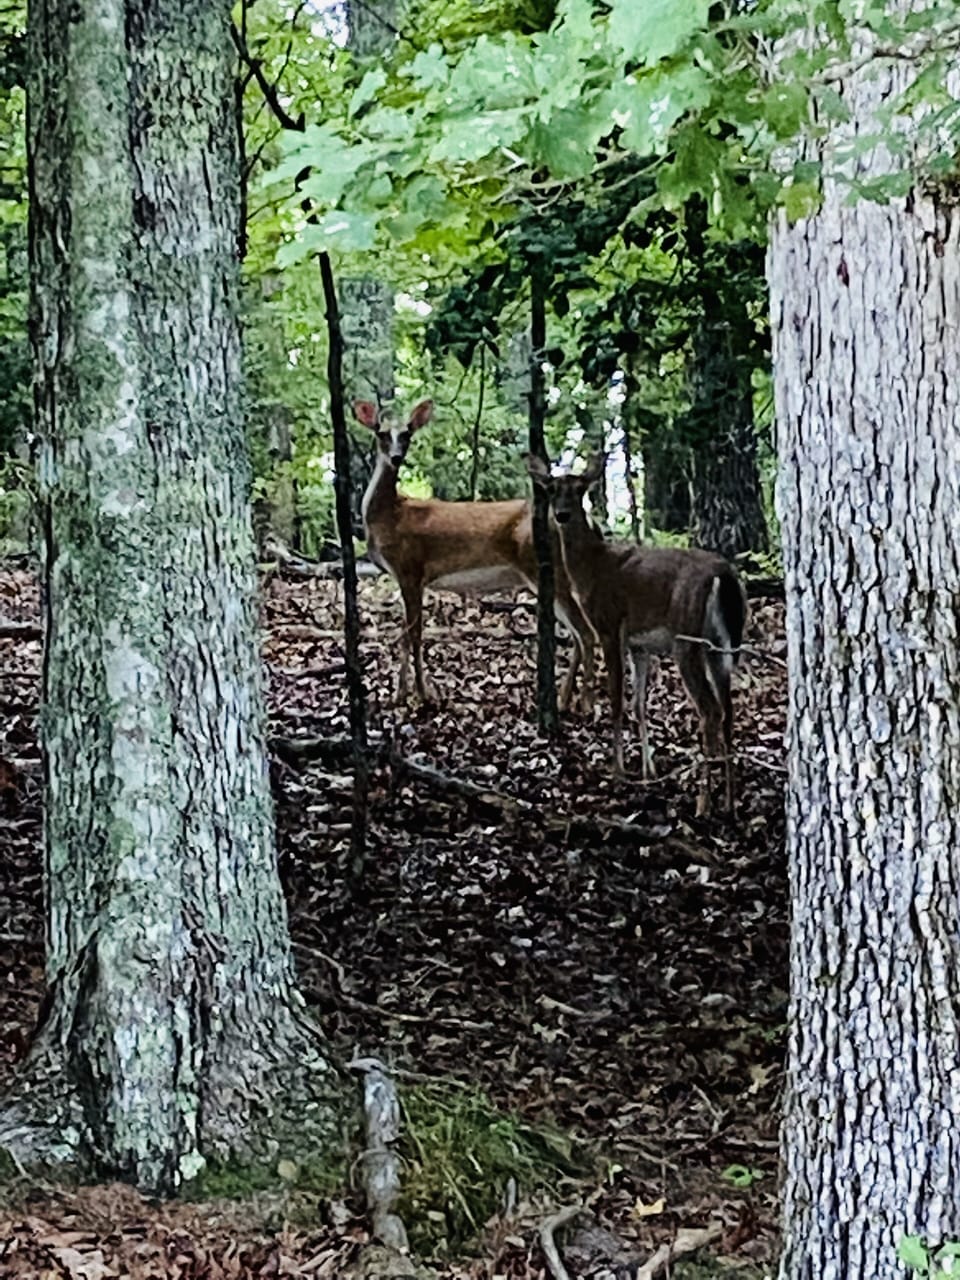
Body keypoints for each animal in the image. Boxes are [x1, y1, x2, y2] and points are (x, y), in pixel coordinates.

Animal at [354, 398, 595, 708]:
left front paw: (422, 694)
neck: (391, 515)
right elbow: (406, 634)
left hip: (546, 569)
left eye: (407, 434)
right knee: (578, 634)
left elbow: (414, 634)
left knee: (586, 633)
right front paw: (401, 694)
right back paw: (564, 699)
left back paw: (583, 704)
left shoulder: (410, 568)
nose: (396, 457)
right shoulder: (406, 576)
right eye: (382, 433)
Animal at [526, 452, 747, 815]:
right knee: (728, 710)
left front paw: (618, 771)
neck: (593, 567)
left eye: (579, 489)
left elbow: (616, 700)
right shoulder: (639, 645)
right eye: (552, 489)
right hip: (722, 646)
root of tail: (723, 576)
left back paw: (703, 803)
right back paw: (729, 801)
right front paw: (648, 770)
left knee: (710, 710)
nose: (561, 515)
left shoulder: (609, 626)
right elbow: (639, 704)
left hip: (687, 639)